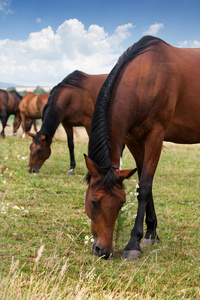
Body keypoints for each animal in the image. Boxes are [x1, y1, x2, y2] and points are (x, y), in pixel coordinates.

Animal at [84, 35, 200, 260]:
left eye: (121, 204)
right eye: (93, 201)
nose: (103, 250)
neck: (145, 77)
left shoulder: (155, 136)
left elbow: (145, 187)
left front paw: (133, 244)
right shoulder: (134, 140)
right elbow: (143, 184)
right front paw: (151, 233)